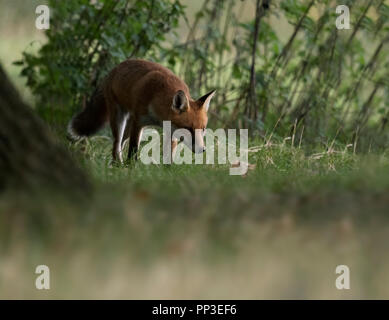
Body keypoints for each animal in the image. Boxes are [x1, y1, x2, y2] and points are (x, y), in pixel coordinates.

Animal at [69, 59, 215, 162]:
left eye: (203, 129)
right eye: (188, 128)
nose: (202, 149)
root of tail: (113, 70)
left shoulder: (171, 131)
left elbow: (169, 156)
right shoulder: (139, 123)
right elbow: (133, 151)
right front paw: (131, 168)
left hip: (128, 126)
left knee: (120, 145)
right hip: (120, 119)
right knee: (116, 145)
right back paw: (118, 165)